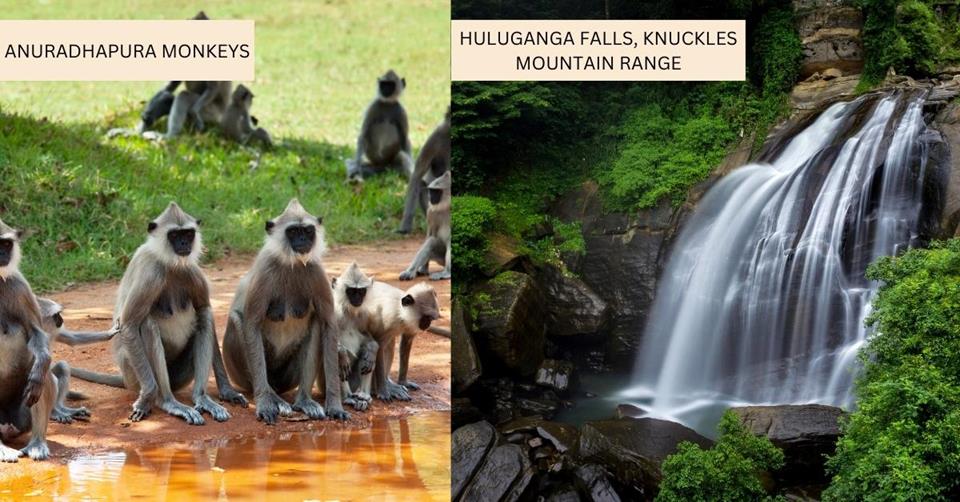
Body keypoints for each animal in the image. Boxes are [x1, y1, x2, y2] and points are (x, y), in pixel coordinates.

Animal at [71, 203, 245, 425]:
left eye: (188, 234)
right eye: (174, 235)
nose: (183, 243)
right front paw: (146, 400)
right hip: (133, 373)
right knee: (147, 324)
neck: (169, 263)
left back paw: (201, 397)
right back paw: (167, 401)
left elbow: (204, 308)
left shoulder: (190, 270)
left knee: (204, 317)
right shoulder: (151, 274)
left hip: (178, 376)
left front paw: (228, 392)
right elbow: (128, 325)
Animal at [222, 199, 349, 424]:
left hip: (288, 377)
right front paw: (264, 403)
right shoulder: (265, 270)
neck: (291, 263)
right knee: (238, 320)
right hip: (242, 375)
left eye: (307, 231)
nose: (302, 239)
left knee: (316, 323)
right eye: (293, 231)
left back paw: (303, 400)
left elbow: (328, 323)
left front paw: (334, 404)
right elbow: (251, 325)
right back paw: (273, 397)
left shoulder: (316, 271)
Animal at [326, 262, 378, 411]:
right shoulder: (334, 311)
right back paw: (347, 397)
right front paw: (341, 353)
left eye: (360, 292)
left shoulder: (364, 314)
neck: (348, 311)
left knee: (366, 357)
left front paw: (372, 349)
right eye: (351, 291)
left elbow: (368, 338)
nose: (357, 299)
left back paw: (363, 395)